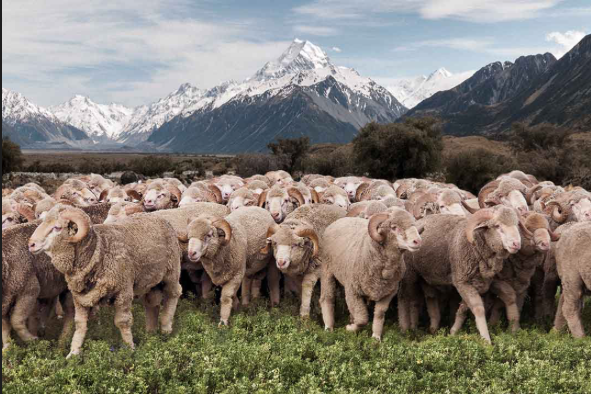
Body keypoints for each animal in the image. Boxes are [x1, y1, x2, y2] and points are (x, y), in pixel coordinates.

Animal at [28, 206, 182, 358]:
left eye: (57, 227)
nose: (31, 244)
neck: (99, 250)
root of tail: (156, 215)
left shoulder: (124, 292)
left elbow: (123, 322)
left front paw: (130, 349)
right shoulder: (79, 297)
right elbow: (80, 324)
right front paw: (73, 353)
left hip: (172, 272)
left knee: (173, 294)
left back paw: (166, 328)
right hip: (152, 279)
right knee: (152, 302)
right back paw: (150, 332)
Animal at [322, 209, 424, 342]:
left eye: (414, 225)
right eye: (394, 227)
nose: (417, 241)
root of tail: (339, 220)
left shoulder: (388, 293)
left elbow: (379, 314)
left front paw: (376, 338)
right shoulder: (352, 290)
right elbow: (362, 319)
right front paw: (350, 328)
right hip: (327, 270)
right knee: (327, 297)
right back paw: (328, 328)